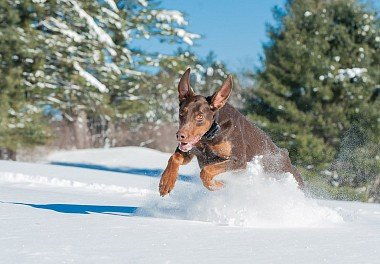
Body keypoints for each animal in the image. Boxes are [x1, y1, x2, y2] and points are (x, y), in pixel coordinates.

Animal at [159, 68, 304, 196]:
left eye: (200, 117)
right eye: (181, 113)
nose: (180, 135)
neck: (211, 135)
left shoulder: (238, 160)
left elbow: (206, 172)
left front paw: (218, 185)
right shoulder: (191, 151)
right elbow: (175, 157)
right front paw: (166, 182)